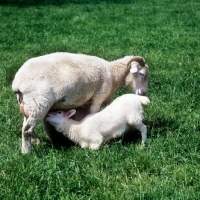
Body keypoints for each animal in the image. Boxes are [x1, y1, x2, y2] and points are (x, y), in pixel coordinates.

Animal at [11, 51, 148, 153]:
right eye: (142, 74)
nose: (144, 93)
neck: (113, 75)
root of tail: (17, 82)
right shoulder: (98, 97)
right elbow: (93, 114)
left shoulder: (83, 104)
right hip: (39, 103)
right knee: (27, 129)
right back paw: (26, 152)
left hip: (28, 105)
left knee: (26, 125)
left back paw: (36, 142)